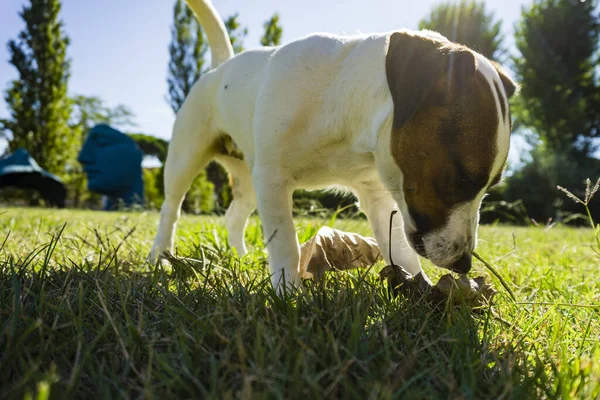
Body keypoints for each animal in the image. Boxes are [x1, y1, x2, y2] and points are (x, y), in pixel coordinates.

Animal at [149, 0, 516, 292]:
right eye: (460, 179)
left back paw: (240, 256)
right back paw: (159, 257)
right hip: (186, 157)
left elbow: (398, 246)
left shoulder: (377, 195)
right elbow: (285, 241)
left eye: (491, 186)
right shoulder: (273, 178)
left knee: (234, 216)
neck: (347, 111)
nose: (464, 264)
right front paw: (287, 295)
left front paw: (417, 287)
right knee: (171, 209)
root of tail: (221, 66)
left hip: (250, 177)